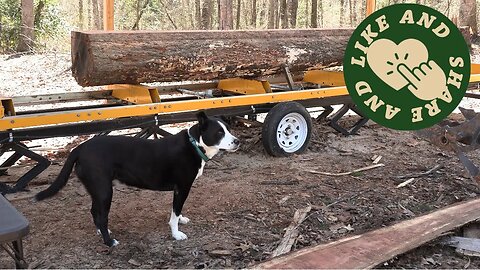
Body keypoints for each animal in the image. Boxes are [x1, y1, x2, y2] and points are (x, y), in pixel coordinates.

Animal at [35, 112, 240, 247]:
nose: (237, 141)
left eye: (229, 129)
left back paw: (102, 232)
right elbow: (174, 213)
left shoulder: (180, 190)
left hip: (97, 190)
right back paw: (109, 241)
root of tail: (80, 148)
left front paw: (181, 220)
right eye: (219, 133)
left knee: (94, 212)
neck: (194, 144)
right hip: (104, 191)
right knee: (101, 216)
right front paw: (176, 234)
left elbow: (177, 210)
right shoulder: (182, 187)